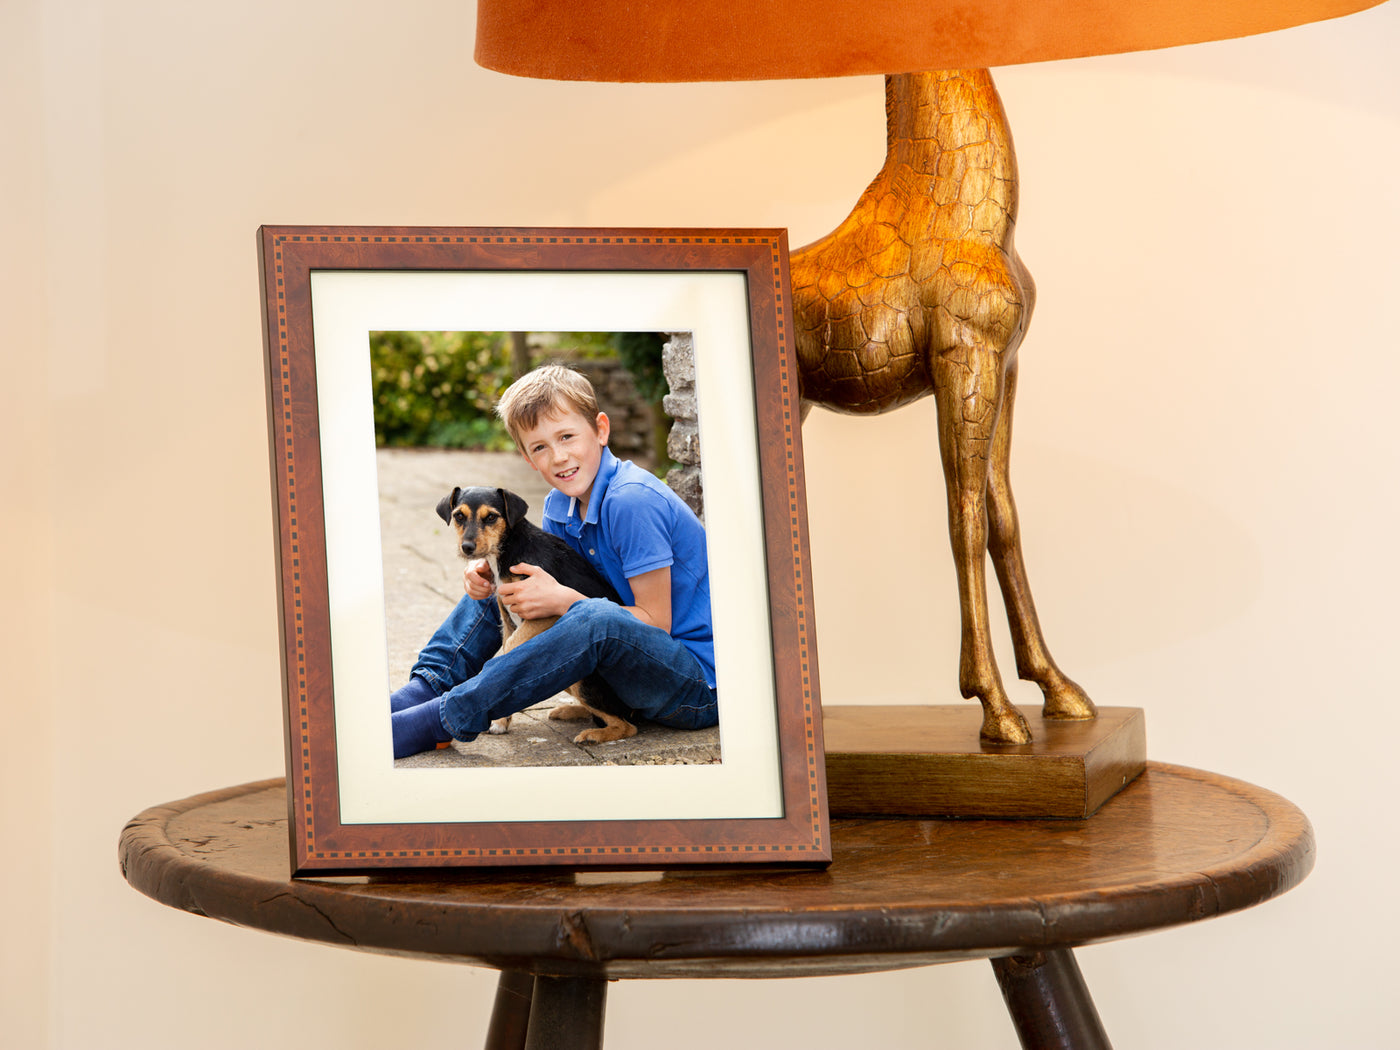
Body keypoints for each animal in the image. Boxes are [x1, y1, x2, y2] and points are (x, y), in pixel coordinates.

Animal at [434, 487, 638, 744]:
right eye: (459, 516)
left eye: (491, 517)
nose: (467, 547)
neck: (510, 549)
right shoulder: (508, 621)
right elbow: (508, 646)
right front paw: (501, 720)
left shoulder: (544, 611)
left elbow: (510, 650)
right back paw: (570, 711)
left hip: (586, 682)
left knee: (627, 726)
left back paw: (593, 734)